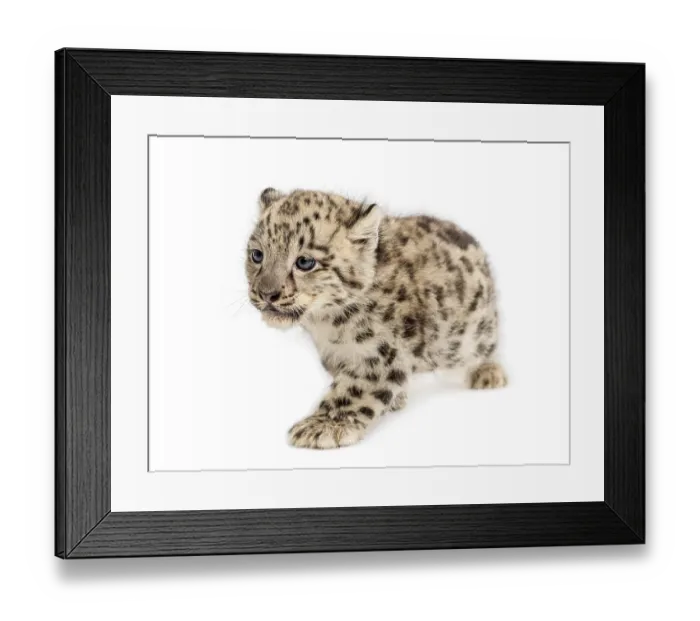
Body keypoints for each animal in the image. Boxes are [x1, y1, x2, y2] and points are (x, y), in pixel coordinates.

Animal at [245, 188, 507, 450]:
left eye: (305, 262)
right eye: (257, 255)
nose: (267, 294)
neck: (324, 323)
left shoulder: (379, 354)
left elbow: (353, 391)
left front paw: (323, 425)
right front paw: (395, 399)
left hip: (472, 333)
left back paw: (488, 373)